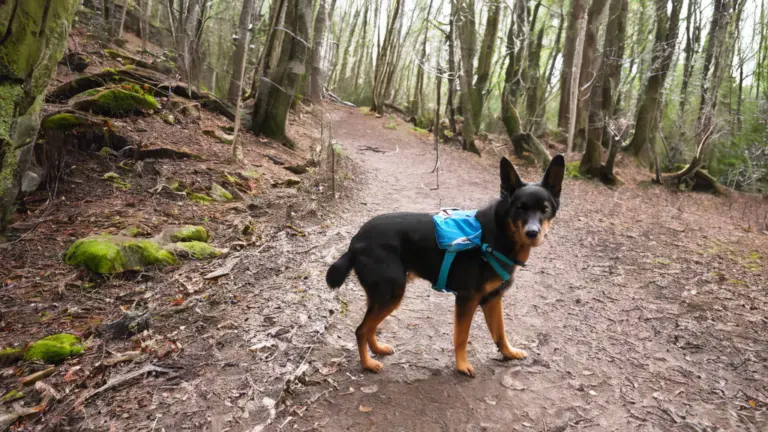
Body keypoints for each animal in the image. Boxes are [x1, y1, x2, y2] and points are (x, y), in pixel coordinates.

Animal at [324, 154, 564, 374]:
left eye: (544, 209)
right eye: (520, 208)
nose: (532, 233)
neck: (498, 236)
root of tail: (356, 241)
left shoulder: (493, 300)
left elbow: (500, 333)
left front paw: (508, 353)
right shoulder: (467, 299)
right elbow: (461, 336)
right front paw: (462, 365)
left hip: (382, 296)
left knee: (369, 327)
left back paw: (377, 349)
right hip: (391, 293)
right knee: (361, 330)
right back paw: (367, 363)